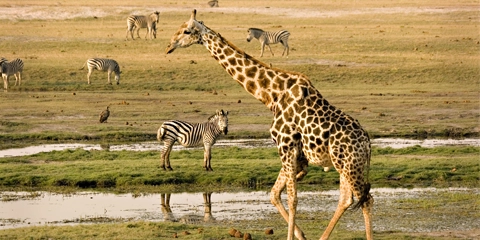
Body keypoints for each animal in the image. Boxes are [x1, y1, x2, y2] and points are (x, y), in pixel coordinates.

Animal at [167, 9, 374, 240]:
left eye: (186, 30)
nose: (169, 44)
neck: (272, 96)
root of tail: (367, 144)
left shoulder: (286, 146)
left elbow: (292, 199)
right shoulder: (294, 154)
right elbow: (275, 194)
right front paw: (301, 235)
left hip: (349, 164)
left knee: (366, 199)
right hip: (344, 165)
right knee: (347, 199)